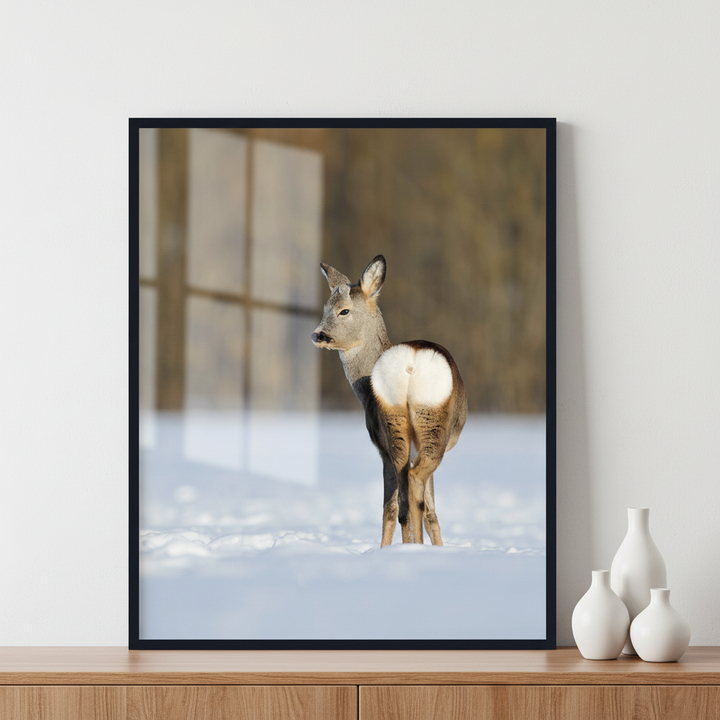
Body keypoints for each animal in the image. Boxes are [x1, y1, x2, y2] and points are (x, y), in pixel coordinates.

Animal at [311, 255, 467, 547]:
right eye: (326, 307)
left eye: (343, 311)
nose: (318, 335)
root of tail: (410, 362)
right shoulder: (382, 447)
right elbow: (422, 510)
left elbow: (415, 511)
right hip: (431, 423)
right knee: (411, 487)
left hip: (396, 422)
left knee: (404, 499)